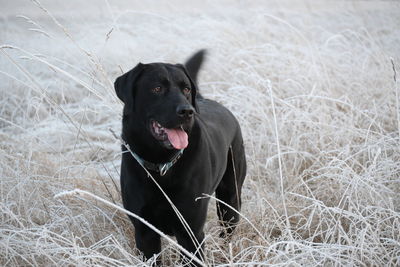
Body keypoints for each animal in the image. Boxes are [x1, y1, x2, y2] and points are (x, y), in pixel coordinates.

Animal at [115, 50, 247, 266]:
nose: (187, 111)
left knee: (227, 229)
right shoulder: (144, 232)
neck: (161, 164)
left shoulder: (191, 233)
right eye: (157, 88)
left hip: (230, 199)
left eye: (185, 89)